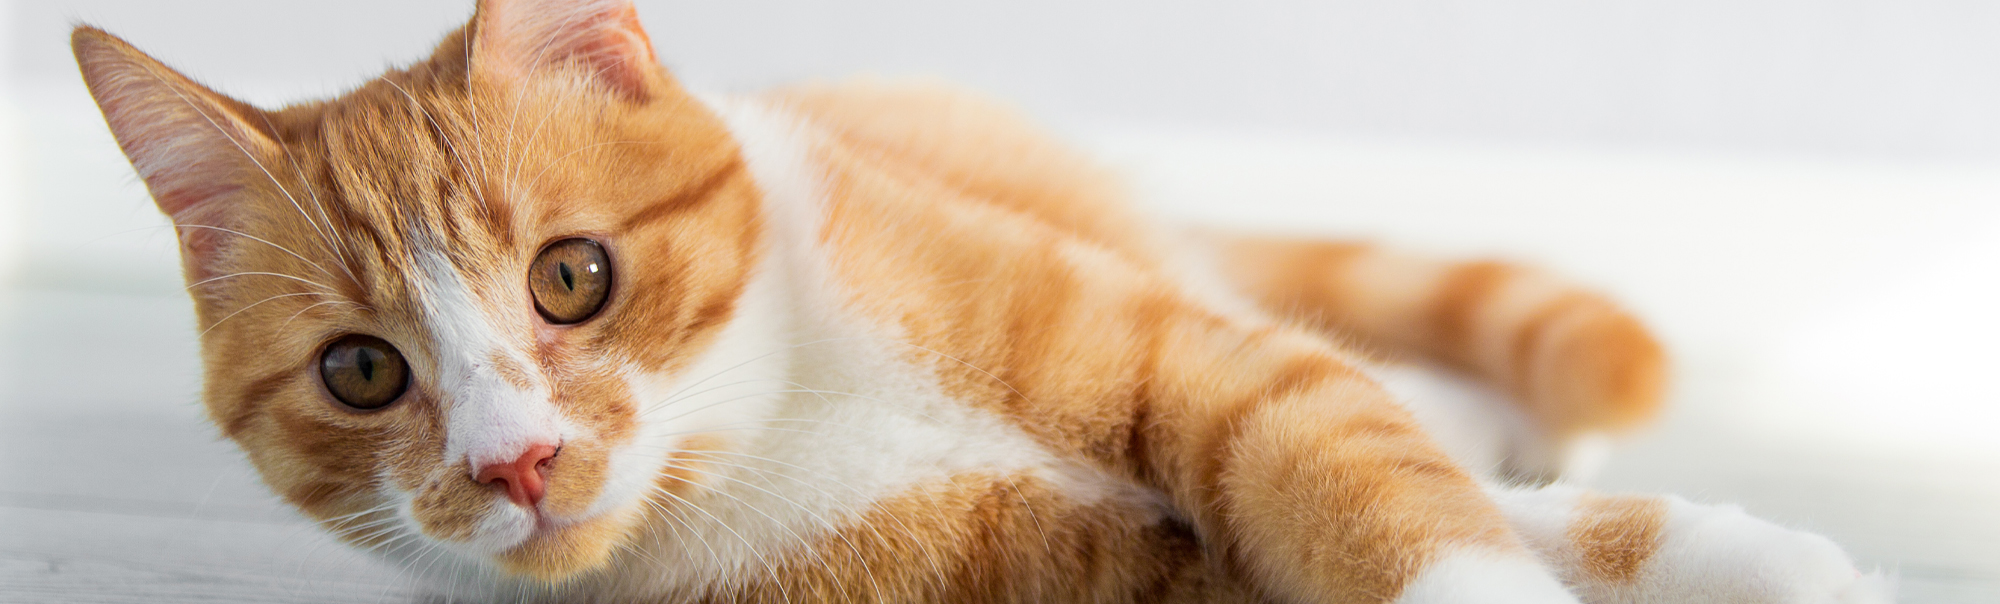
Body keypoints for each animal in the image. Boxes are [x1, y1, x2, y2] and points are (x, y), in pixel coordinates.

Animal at [74, 1, 1888, 604]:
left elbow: (1363, 458)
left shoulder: (1194, 361)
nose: (513, 462)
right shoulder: (1103, 574)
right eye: (362, 373)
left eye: (572, 276)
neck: (771, 419)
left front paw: (1756, 558)